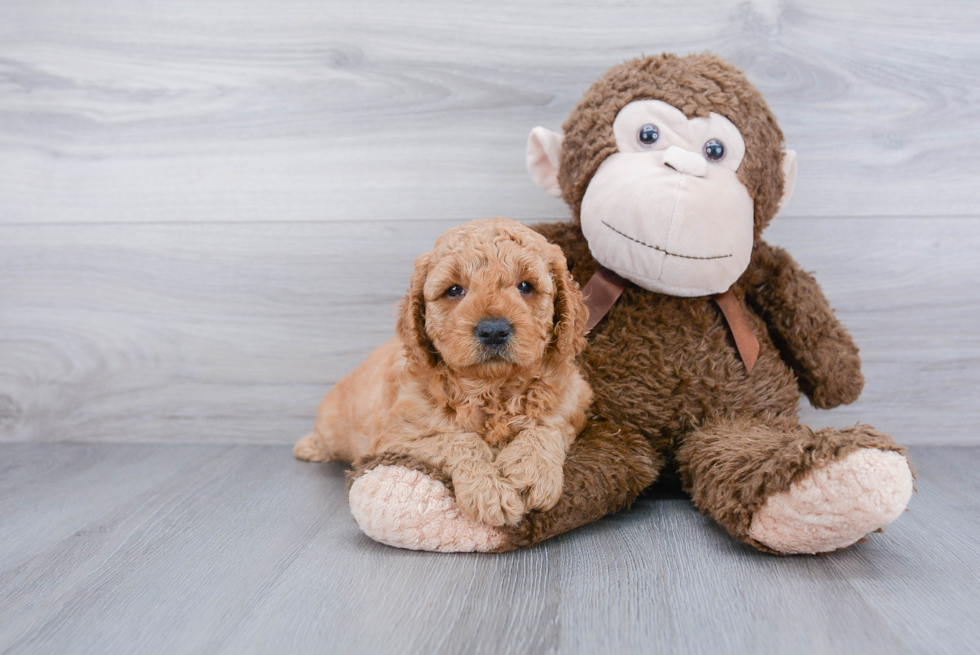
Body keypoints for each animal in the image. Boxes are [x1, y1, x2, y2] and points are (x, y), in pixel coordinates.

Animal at [294, 218, 592, 524]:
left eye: (525, 286)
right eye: (454, 290)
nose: (493, 330)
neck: (491, 388)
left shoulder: (571, 403)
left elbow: (545, 427)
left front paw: (531, 474)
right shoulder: (399, 437)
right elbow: (458, 440)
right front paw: (489, 492)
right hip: (333, 423)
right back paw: (308, 447)